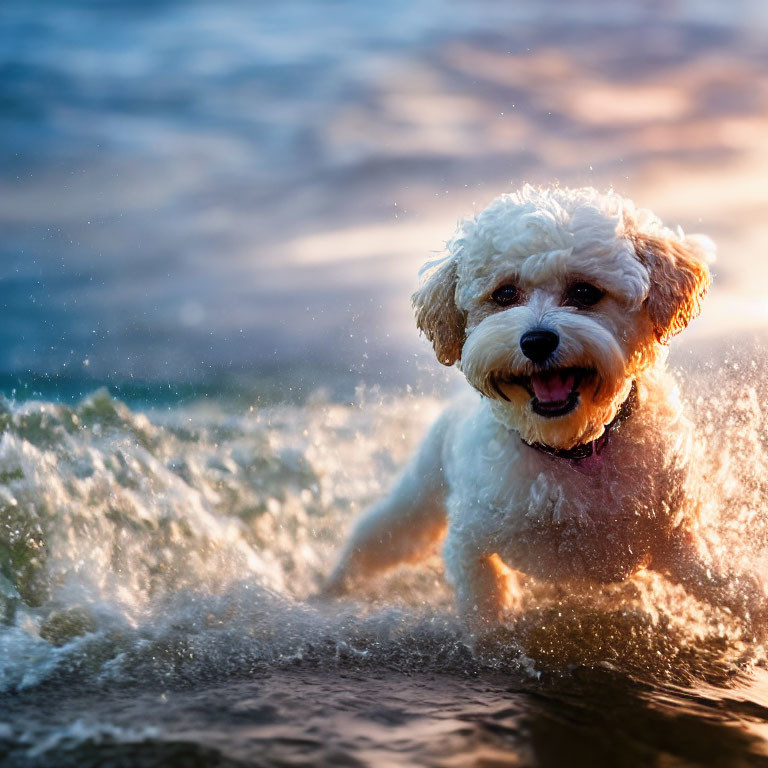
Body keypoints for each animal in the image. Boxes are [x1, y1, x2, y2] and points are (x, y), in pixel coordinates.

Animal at [326, 186, 768, 632]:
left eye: (585, 292)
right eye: (504, 294)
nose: (536, 341)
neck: (573, 450)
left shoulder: (678, 538)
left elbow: (733, 583)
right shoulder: (470, 537)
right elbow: (482, 597)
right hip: (421, 492)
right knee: (380, 533)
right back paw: (333, 586)